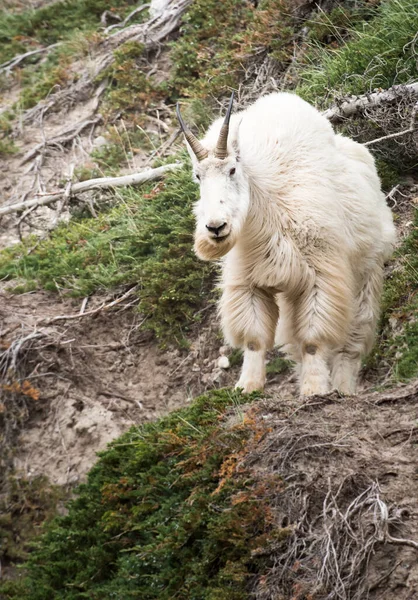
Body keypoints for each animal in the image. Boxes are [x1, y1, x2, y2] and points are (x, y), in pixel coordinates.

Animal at [176, 91, 396, 396]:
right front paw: (247, 386)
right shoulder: (250, 281)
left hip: (368, 269)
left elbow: (314, 339)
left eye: (232, 169)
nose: (216, 228)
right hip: (290, 292)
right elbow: (255, 339)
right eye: (198, 176)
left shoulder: (320, 276)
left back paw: (342, 387)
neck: (267, 210)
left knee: (353, 337)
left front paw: (314, 389)